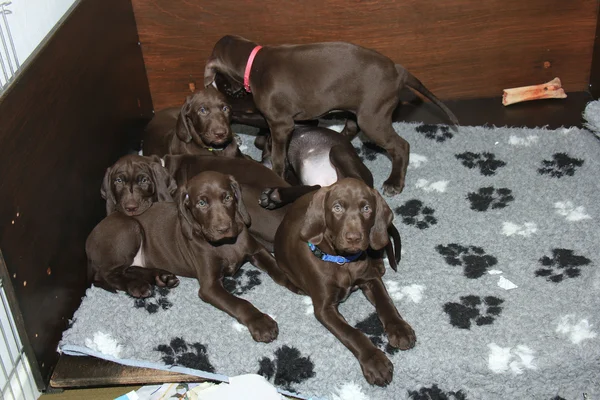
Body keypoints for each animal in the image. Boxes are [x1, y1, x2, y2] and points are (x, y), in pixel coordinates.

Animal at [87, 170, 296, 342]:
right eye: (201, 203)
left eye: (228, 197)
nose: (223, 228)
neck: (225, 244)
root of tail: (90, 237)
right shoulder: (210, 286)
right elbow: (240, 303)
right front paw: (261, 323)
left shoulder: (256, 251)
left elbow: (275, 266)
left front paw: (293, 280)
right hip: (129, 228)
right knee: (106, 275)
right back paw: (137, 286)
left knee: (128, 268)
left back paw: (162, 277)